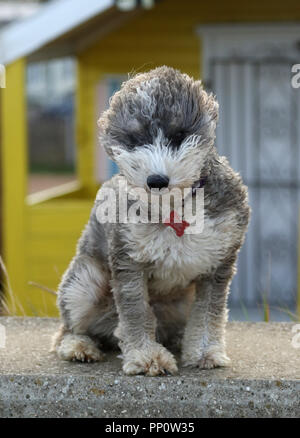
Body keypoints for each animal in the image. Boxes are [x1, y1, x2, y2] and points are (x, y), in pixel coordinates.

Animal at [52, 66, 250, 376]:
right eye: (136, 140)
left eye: (179, 135)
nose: (157, 180)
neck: (175, 209)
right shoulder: (129, 261)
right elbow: (137, 311)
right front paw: (147, 357)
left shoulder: (218, 264)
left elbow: (208, 312)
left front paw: (205, 351)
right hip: (85, 280)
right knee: (68, 328)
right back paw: (79, 346)